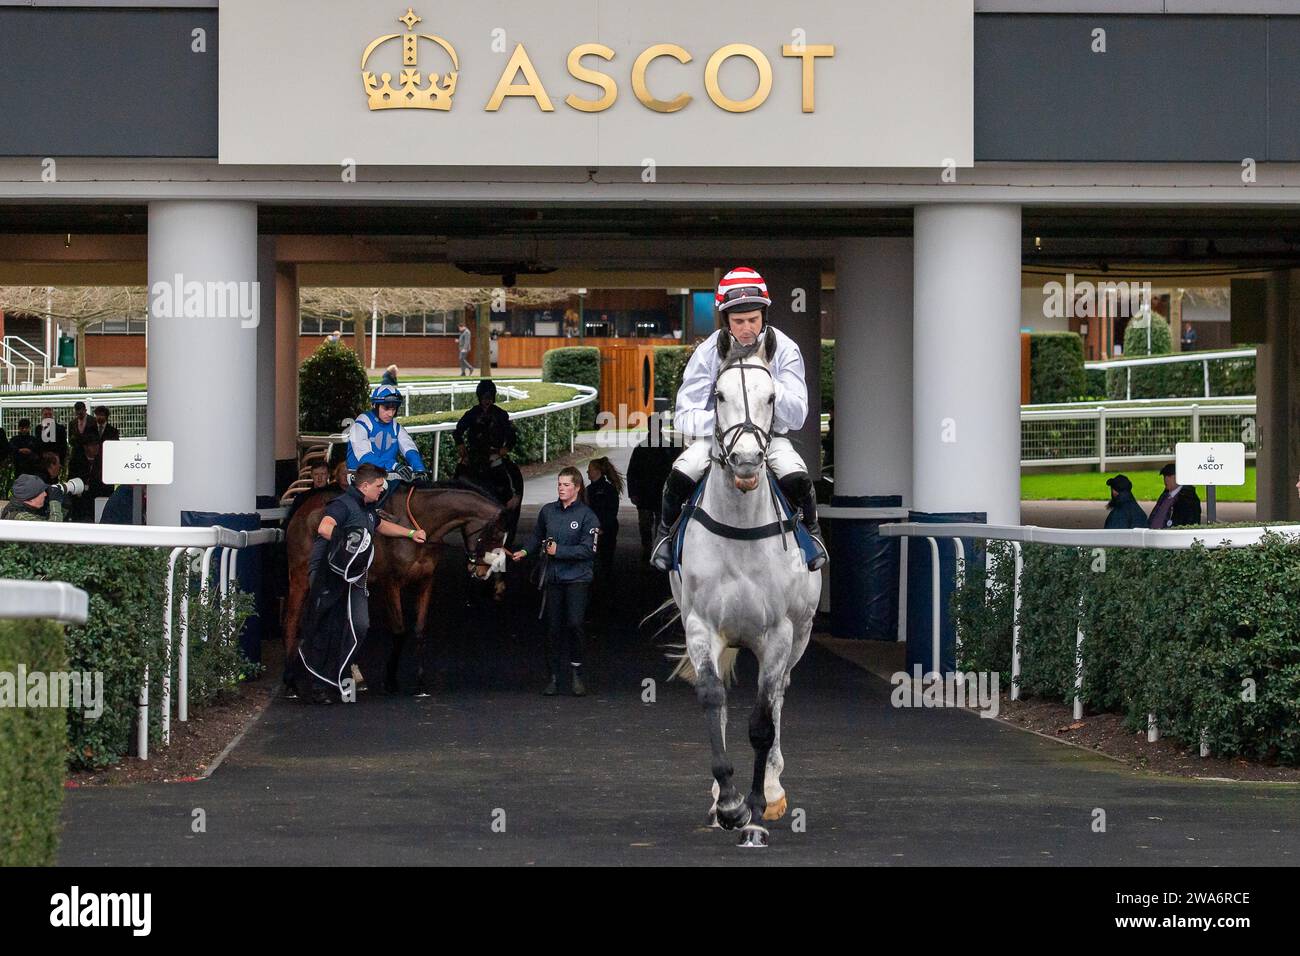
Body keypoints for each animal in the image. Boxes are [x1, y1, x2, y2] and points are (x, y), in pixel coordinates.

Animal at [284, 481, 506, 691]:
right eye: (494, 536)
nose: (481, 571)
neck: (420, 524)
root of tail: (304, 506)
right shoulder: (391, 582)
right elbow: (399, 631)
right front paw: (390, 680)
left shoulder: (426, 581)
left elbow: (420, 630)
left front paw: (420, 683)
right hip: (301, 578)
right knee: (293, 621)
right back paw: (291, 682)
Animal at [670, 327, 821, 842]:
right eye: (718, 395)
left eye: (771, 396)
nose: (749, 459)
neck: (739, 528)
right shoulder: (700, 626)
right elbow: (712, 699)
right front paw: (729, 801)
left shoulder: (777, 634)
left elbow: (761, 719)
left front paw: (756, 804)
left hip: (801, 635)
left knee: (777, 699)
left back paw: (772, 789)